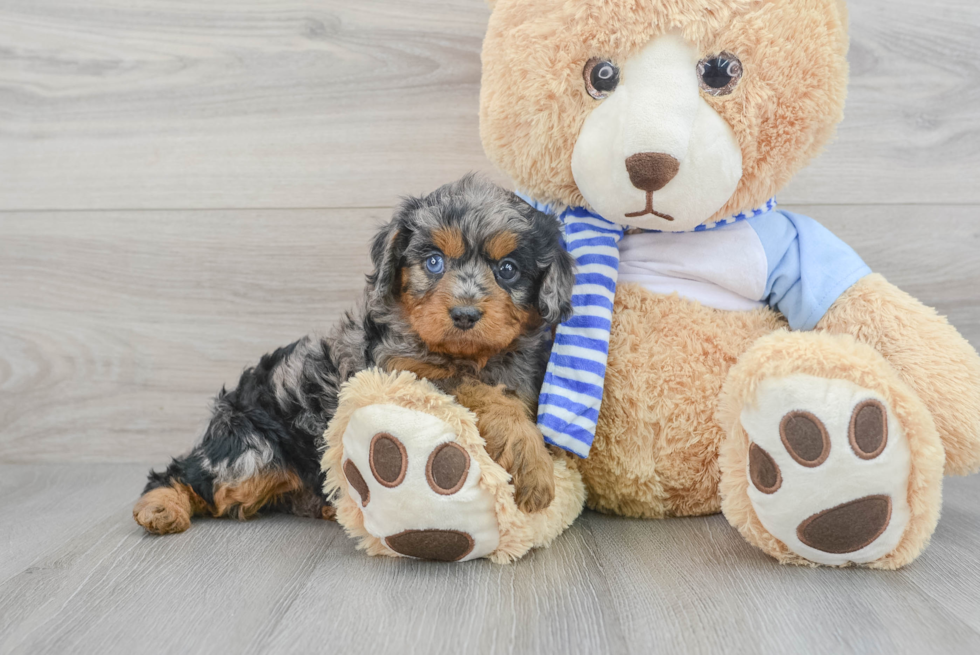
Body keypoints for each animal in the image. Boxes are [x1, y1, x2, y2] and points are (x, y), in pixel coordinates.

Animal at [130, 177, 576, 536]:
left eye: (508, 269)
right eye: (434, 262)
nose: (465, 314)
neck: (473, 355)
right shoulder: (403, 372)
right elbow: (481, 391)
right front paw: (533, 462)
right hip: (251, 454)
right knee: (186, 474)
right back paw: (160, 507)